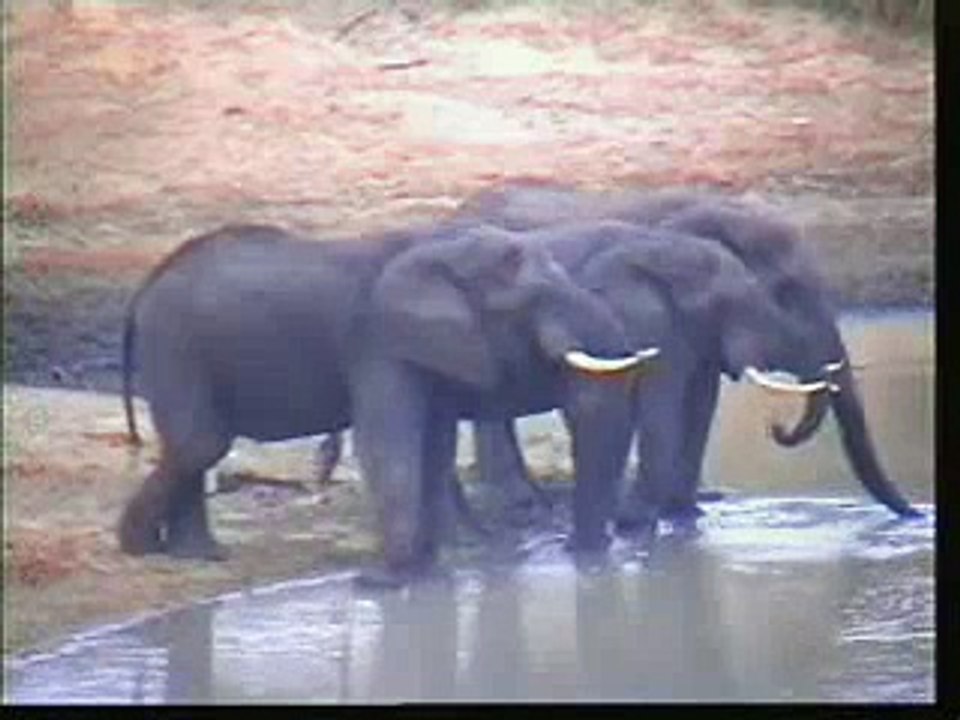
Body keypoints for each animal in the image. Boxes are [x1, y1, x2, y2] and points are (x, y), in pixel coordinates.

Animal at [119, 222, 656, 585]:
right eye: (535, 298)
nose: (577, 553)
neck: (444, 251)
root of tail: (147, 282)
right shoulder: (379, 342)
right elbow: (388, 445)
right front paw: (384, 584)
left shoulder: (431, 352)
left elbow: (434, 447)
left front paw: (426, 577)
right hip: (175, 343)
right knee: (200, 442)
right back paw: (141, 548)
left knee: (194, 446)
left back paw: (196, 555)